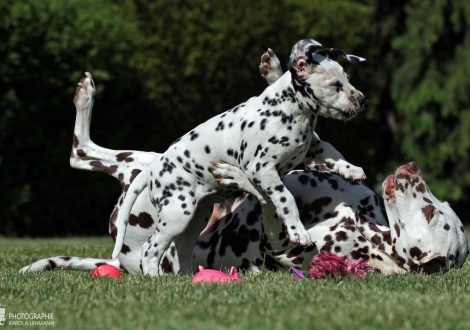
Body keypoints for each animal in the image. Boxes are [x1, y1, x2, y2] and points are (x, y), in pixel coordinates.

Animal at [110, 38, 368, 276]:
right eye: (335, 85)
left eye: (347, 79)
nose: (363, 100)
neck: (288, 109)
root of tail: (153, 169)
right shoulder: (263, 168)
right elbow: (286, 199)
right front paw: (298, 231)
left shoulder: (312, 145)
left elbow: (331, 151)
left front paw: (351, 169)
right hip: (177, 214)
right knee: (150, 249)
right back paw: (154, 278)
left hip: (195, 220)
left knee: (181, 250)